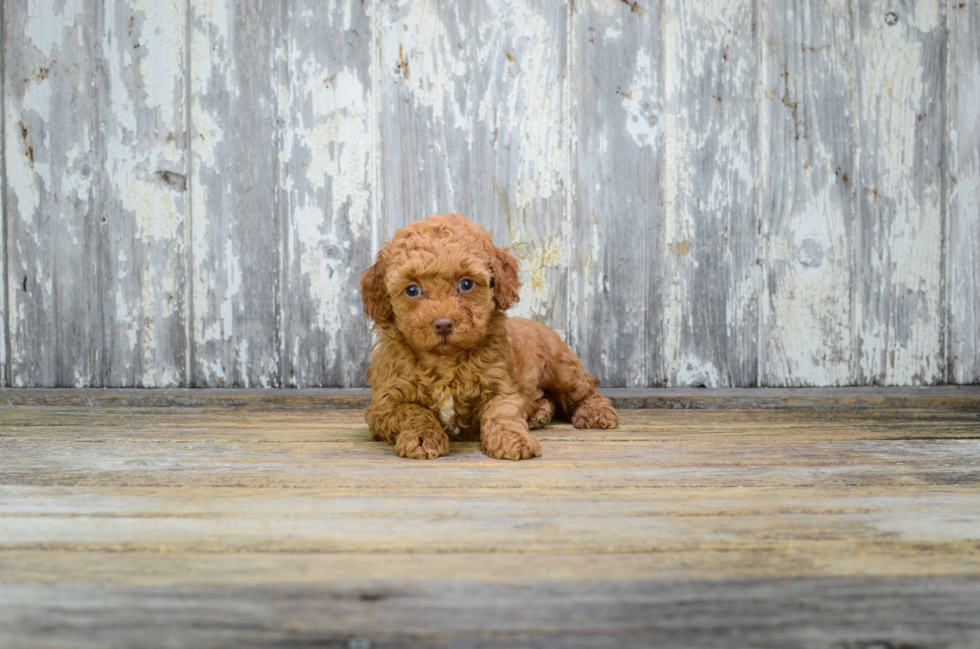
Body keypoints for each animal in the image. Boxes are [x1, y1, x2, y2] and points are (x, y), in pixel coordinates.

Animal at [360, 214, 620, 460]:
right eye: (412, 290)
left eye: (466, 284)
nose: (443, 323)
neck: (445, 361)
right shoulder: (384, 404)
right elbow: (413, 412)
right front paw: (423, 438)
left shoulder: (500, 385)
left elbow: (501, 411)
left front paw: (514, 439)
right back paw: (538, 413)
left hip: (562, 368)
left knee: (584, 390)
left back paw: (595, 412)